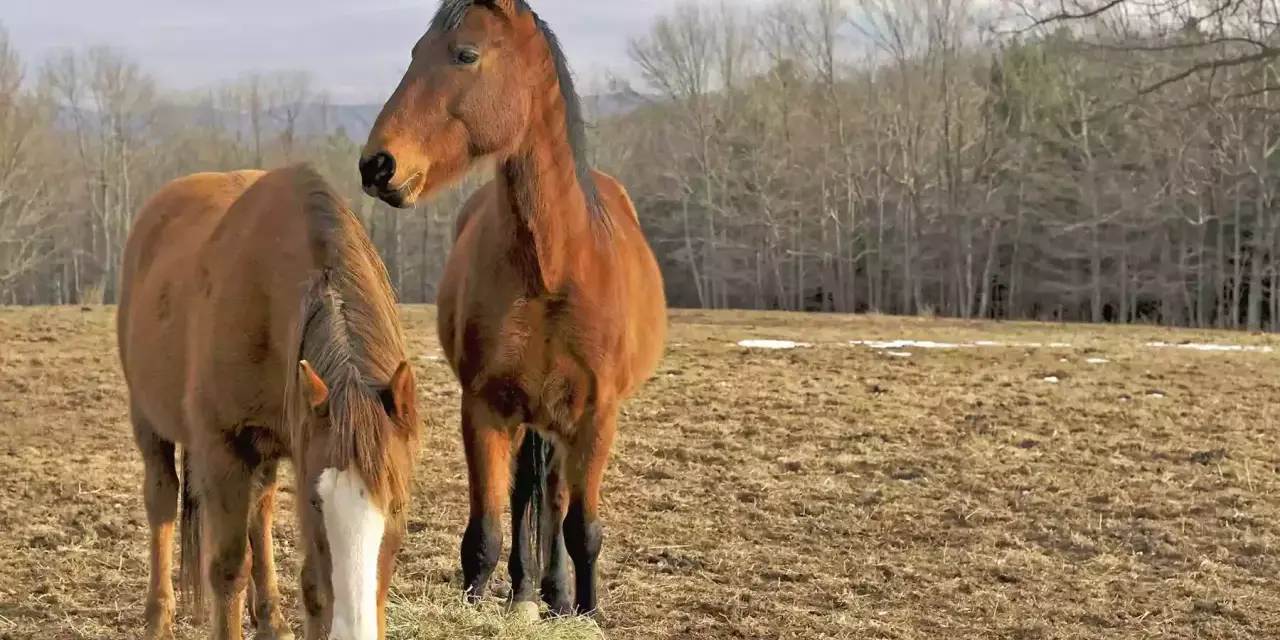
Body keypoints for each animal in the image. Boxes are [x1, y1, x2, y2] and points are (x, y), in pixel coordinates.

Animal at [116, 163, 422, 640]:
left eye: (398, 505)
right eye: (316, 504)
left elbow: (313, 585)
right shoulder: (223, 450)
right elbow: (227, 570)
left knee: (259, 515)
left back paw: (272, 619)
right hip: (150, 424)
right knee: (162, 503)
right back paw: (158, 620)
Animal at [356, 0, 668, 620]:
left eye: (465, 54)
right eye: (414, 52)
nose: (377, 165)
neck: (552, 266)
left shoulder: (596, 417)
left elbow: (582, 528)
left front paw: (586, 611)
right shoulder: (484, 408)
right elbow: (485, 529)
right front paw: (481, 601)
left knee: (555, 498)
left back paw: (555, 593)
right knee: (529, 491)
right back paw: (527, 590)